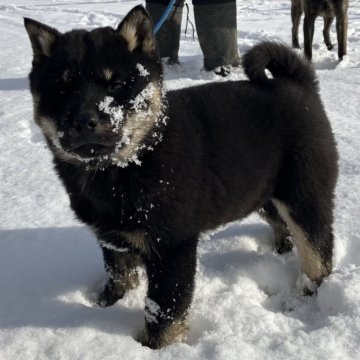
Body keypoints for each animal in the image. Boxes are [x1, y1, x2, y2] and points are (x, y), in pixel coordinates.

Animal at [24, 4, 338, 348]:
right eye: (62, 87)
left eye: (116, 85)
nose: (84, 121)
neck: (129, 163)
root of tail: (300, 84)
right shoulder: (113, 239)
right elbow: (119, 277)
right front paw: (109, 305)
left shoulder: (171, 246)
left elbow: (164, 308)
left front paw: (154, 347)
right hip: (259, 190)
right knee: (283, 225)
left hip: (303, 194)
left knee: (317, 251)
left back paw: (306, 294)